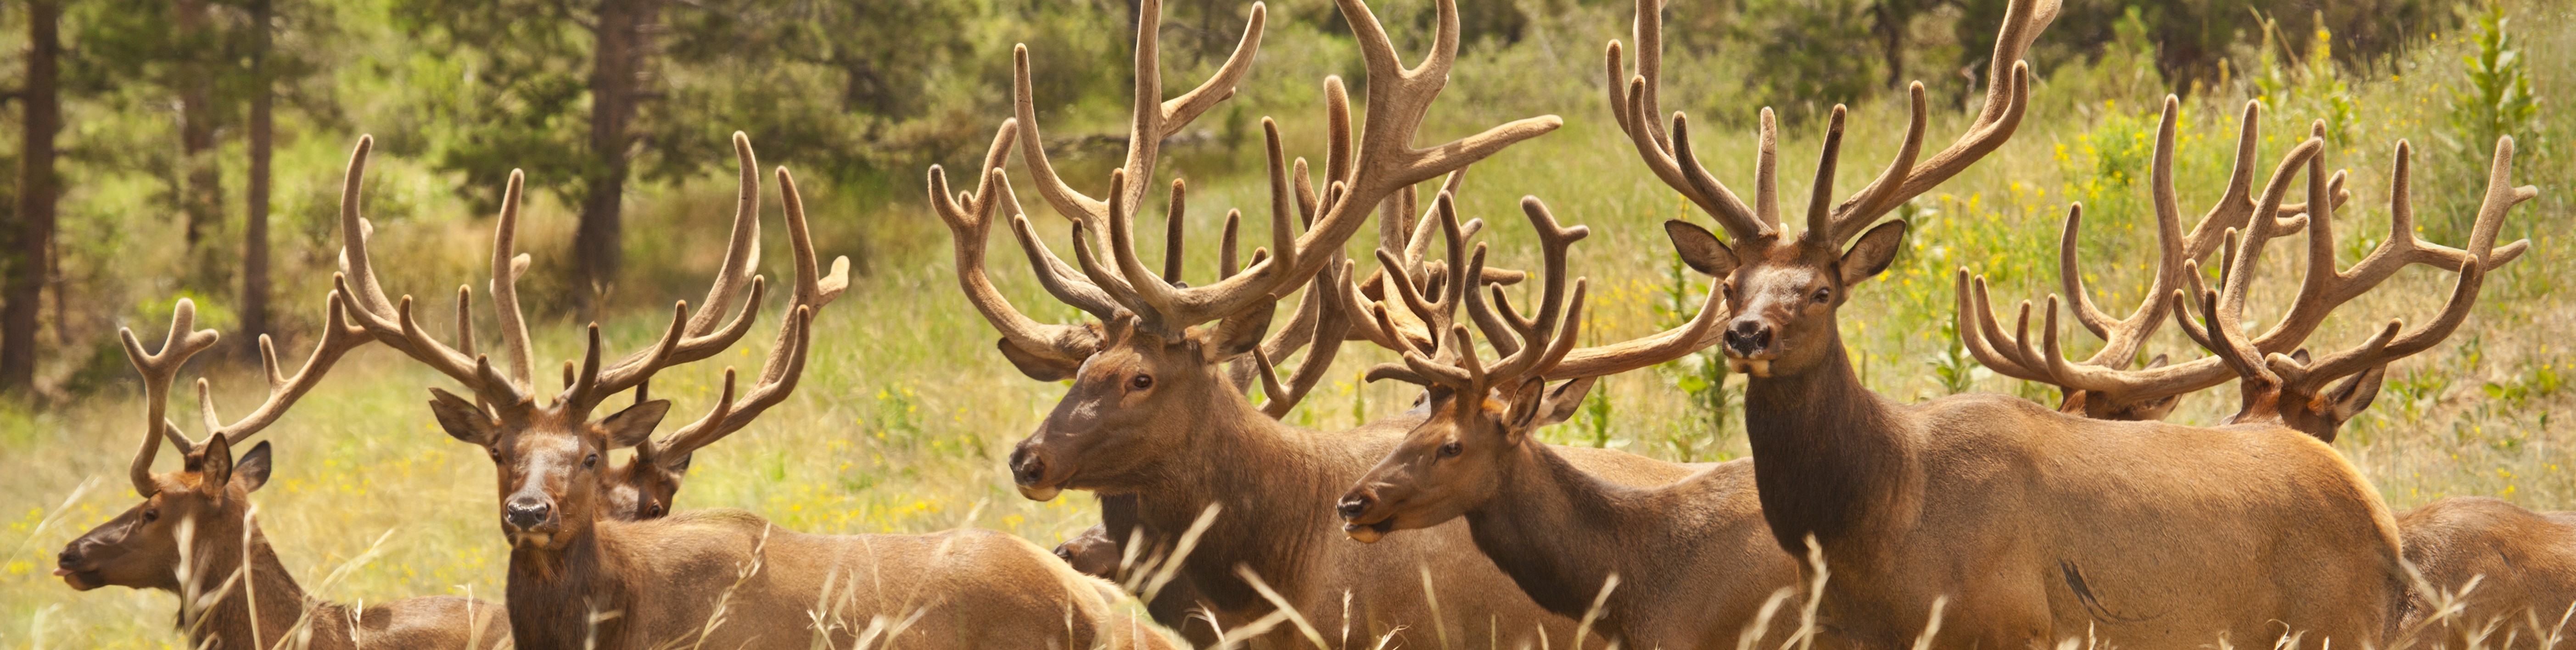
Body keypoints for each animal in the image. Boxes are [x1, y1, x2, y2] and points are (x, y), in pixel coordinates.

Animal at [1618, 0, 2442, 642]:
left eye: (1822, 290)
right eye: (1731, 285)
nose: (1745, 334)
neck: (1876, 525)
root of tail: (2377, 517)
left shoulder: (2010, 622)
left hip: (2332, 621)